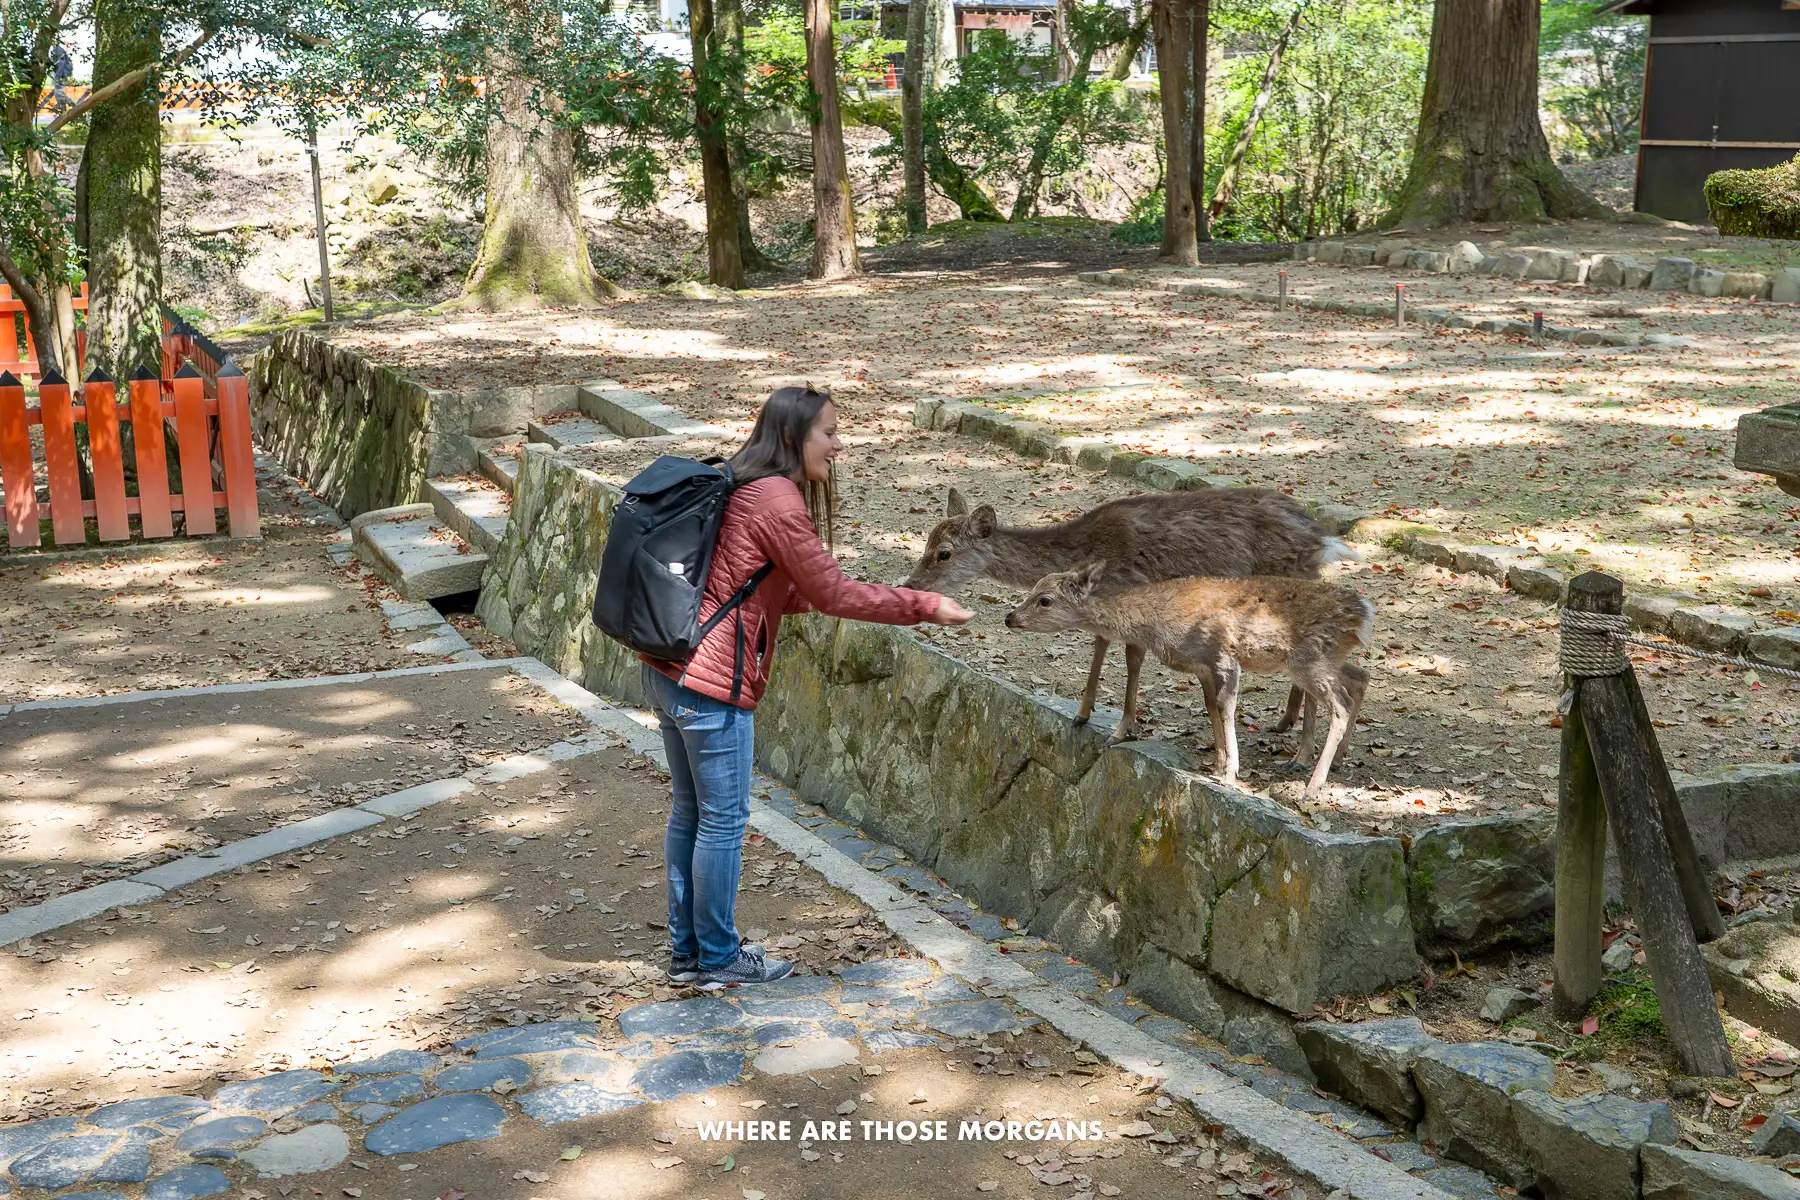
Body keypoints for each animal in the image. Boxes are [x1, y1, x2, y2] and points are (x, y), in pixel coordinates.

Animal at [905, 487, 1358, 744]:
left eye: (944, 553)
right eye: (926, 541)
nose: (910, 583)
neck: (1087, 551)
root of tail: (1324, 540)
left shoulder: (1132, 594)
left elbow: (1131, 657)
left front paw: (1122, 729)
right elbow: (1100, 645)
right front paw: (1082, 715)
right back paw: (1284, 722)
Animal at [1006, 564, 1372, 797]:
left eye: (1045, 600)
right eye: (1034, 588)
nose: (1009, 617)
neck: (1158, 622)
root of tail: (1364, 614)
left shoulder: (1224, 656)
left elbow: (1227, 708)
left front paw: (1230, 772)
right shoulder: (1201, 667)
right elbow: (1211, 707)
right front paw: (1218, 763)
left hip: (1308, 659)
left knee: (1340, 703)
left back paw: (1312, 787)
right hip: (1324, 659)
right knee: (1359, 677)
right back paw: (1337, 758)